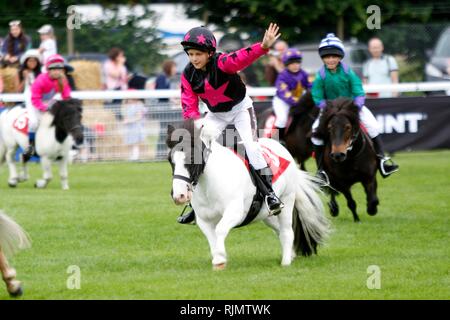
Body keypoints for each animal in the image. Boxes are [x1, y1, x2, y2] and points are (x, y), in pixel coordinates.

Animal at [167, 119, 328, 268]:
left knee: (287, 231)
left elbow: (220, 229)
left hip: (287, 200)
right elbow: (212, 238)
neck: (209, 185)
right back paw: (292, 254)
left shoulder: (235, 212)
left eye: (191, 158)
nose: (179, 196)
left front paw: (220, 259)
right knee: (279, 229)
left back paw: (286, 262)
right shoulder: (203, 219)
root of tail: (283, 149)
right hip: (266, 214)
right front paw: (218, 258)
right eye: (170, 160)